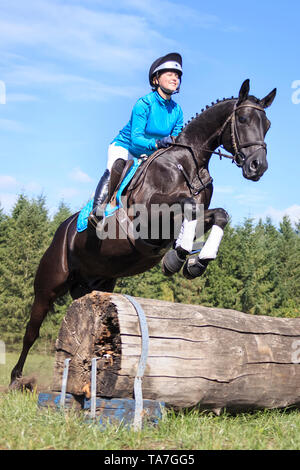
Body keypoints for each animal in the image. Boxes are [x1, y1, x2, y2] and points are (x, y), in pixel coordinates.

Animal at [9, 79, 276, 388]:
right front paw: (178, 257)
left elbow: (217, 214)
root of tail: (61, 231)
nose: (258, 166)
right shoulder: (147, 218)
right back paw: (16, 379)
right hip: (49, 284)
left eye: (267, 124)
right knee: (32, 331)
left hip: (96, 283)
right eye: (243, 119)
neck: (187, 162)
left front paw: (196, 261)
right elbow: (187, 205)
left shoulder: (196, 215)